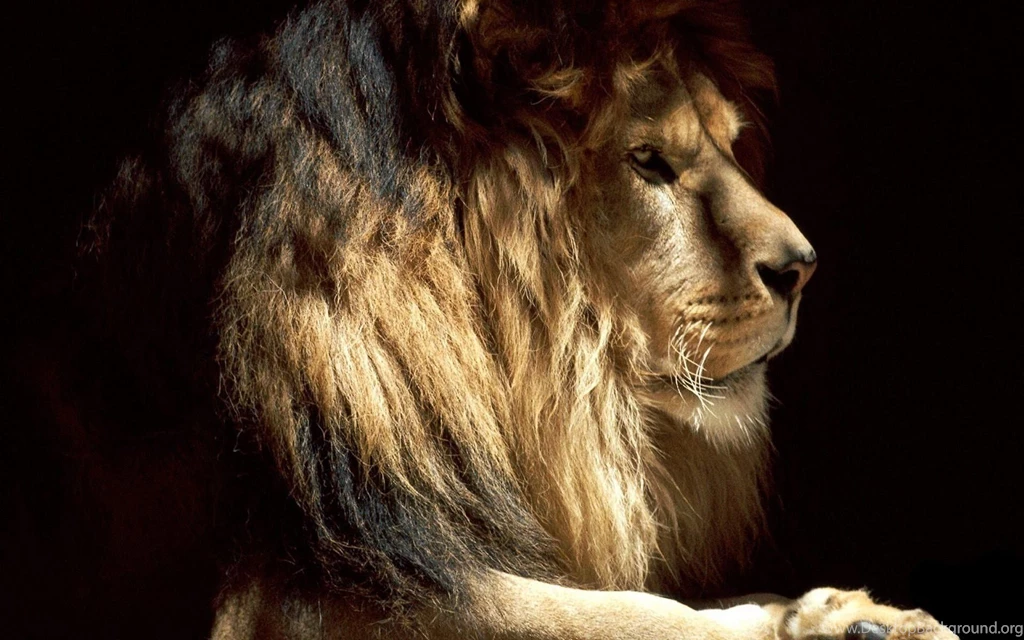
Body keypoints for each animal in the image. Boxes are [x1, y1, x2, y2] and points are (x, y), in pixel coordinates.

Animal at [32, 0, 956, 638]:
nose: (802, 268)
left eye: (730, 145)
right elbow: (616, 615)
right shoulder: (295, 586)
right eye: (647, 161)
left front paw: (847, 612)